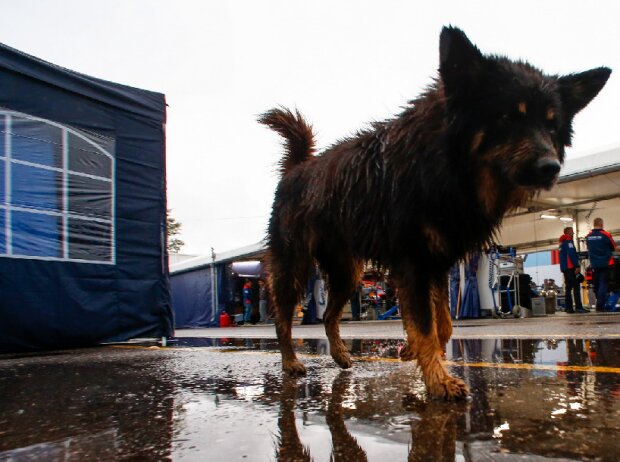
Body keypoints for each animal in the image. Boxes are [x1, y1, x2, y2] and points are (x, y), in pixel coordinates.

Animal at [258, 26, 612, 400]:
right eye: (506, 117)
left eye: (552, 126)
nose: (551, 168)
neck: (446, 166)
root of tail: (297, 169)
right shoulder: (413, 262)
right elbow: (427, 324)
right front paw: (438, 380)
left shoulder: (438, 262)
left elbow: (442, 324)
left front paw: (411, 350)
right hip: (295, 266)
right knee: (282, 318)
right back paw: (290, 362)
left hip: (347, 272)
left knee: (328, 316)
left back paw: (339, 355)